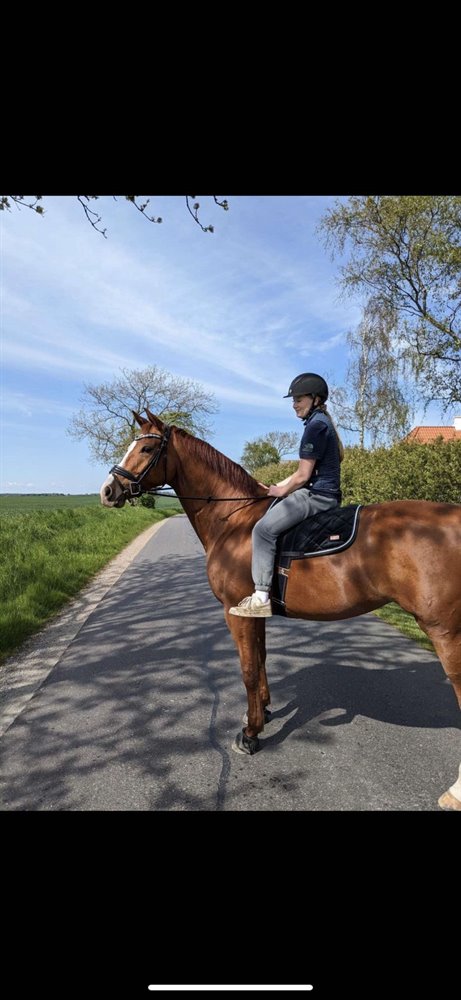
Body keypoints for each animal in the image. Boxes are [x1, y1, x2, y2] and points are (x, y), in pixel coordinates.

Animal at [99, 410, 461, 811]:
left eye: (147, 448)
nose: (108, 491)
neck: (233, 519)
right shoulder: (254, 615)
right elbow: (260, 660)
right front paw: (264, 711)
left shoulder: (234, 613)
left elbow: (247, 670)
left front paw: (250, 733)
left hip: (445, 631)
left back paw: (454, 791)